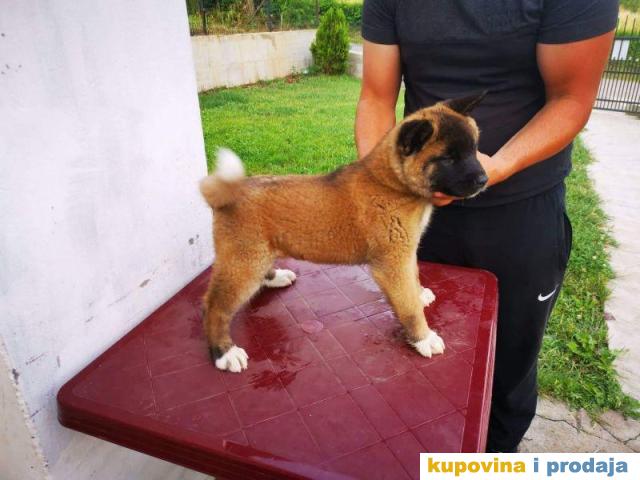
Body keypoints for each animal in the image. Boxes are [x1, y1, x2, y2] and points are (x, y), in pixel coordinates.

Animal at [200, 92, 488, 372]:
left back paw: (274, 277)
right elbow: (408, 307)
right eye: (448, 159)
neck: (392, 183)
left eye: (473, 150)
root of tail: (230, 193)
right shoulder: (393, 263)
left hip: (255, 254)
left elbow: (414, 278)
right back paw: (224, 353)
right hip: (243, 261)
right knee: (214, 307)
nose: (484, 180)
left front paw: (419, 293)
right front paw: (424, 337)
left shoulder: (405, 253)